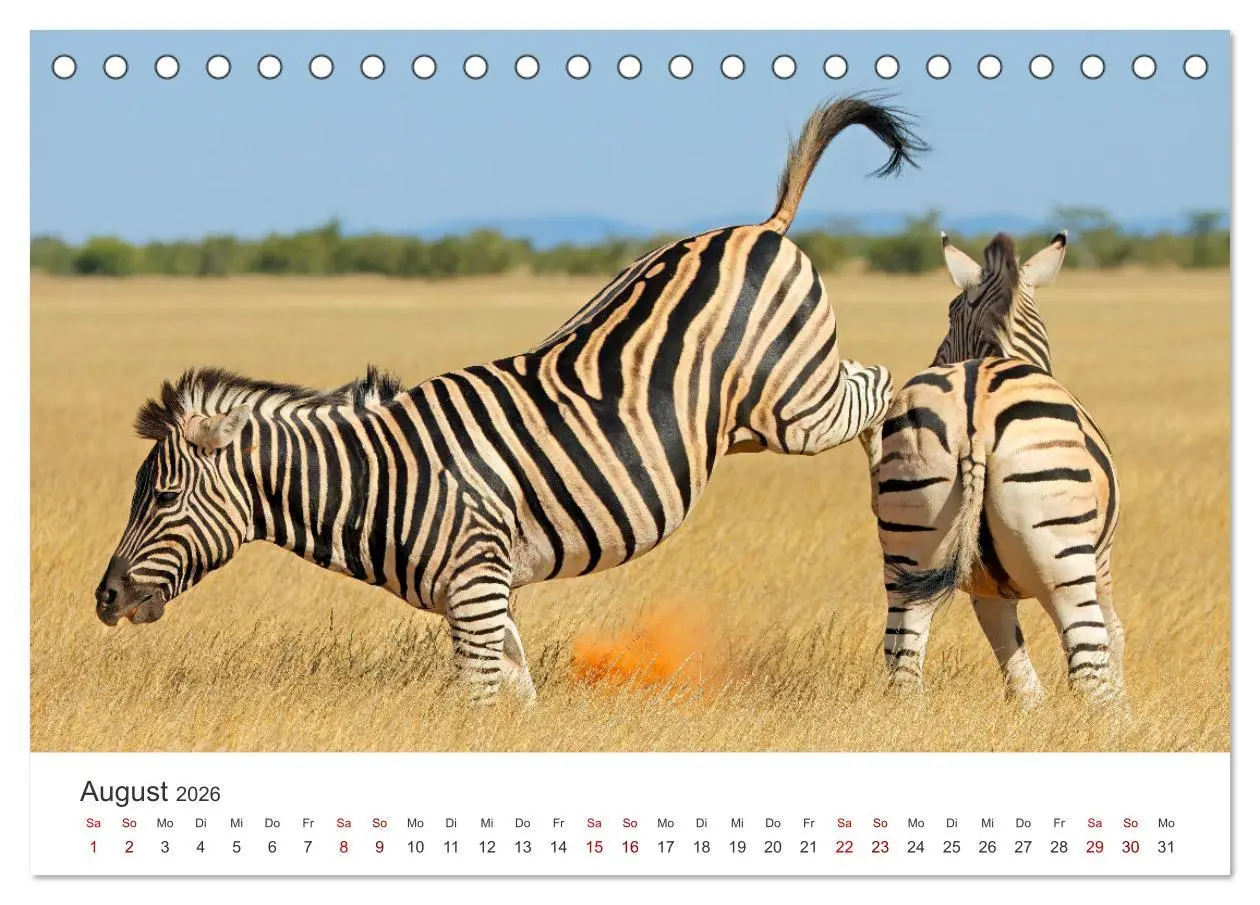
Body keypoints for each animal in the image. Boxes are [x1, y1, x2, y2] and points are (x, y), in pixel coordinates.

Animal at [94, 95, 923, 703]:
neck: (379, 480)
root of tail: (758, 226)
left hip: (798, 404)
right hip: (747, 419)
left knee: (881, 386)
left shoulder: (477, 588)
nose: (103, 598)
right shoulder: (487, 598)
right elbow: (514, 698)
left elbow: (479, 699)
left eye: (163, 497)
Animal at [869, 231, 1123, 707]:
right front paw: (1126, 713)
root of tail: (975, 412)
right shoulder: (1101, 563)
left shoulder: (986, 592)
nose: (932, 357)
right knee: (1089, 667)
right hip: (1066, 564)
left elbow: (1021, 679)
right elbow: (1114, 639)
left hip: (909, 547)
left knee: (903, 661)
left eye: (950, 313)